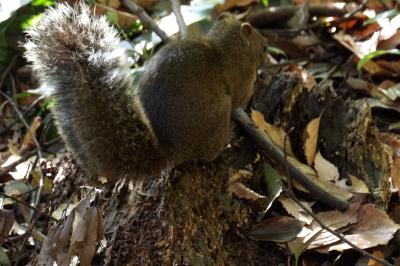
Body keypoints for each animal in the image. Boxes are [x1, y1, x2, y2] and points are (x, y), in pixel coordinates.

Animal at [24, 2, 268, 180]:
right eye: (264, 47)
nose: (267, 51)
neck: (222, 46)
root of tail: (170, 150)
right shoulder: (240, 78)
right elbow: (241, 99)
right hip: (216, 118)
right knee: (205, 155)